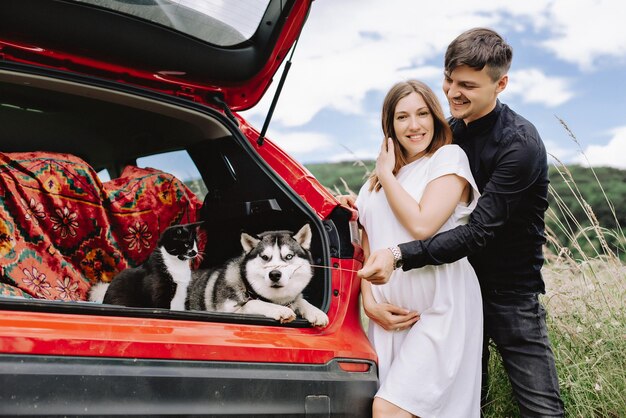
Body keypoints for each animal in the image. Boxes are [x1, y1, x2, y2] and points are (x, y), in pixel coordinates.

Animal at [186, 225, 326, 326]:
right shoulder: (227, 312)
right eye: (265, 257)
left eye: (289, 256)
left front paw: (316, 312)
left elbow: (300, 300)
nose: (274, 274)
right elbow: (253, 303)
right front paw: (280, 310)